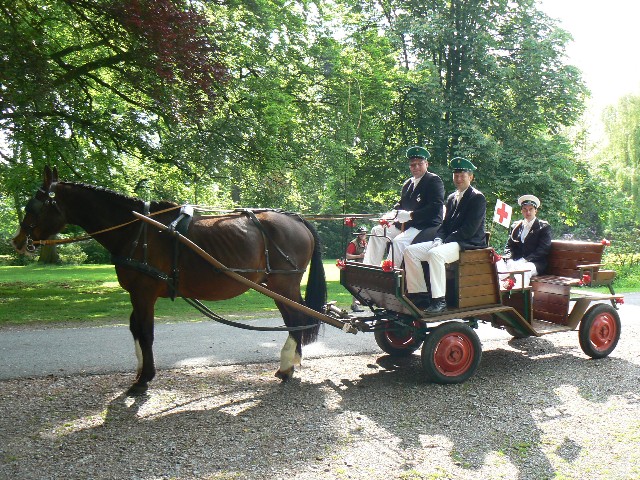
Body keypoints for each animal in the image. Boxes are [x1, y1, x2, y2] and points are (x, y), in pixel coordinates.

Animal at [11, 167, 324, 396]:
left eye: (34, 206)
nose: (17, 241)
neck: (137, 230)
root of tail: (297, 219)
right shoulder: (136, 293)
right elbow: (135, 329)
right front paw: (140, 372)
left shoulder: (143, 292)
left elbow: (146, 332)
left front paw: (143, 380)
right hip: (278, 286)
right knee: (295, 320)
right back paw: (290, 364)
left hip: (283, 285)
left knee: (296, 319)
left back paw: (287, 366)